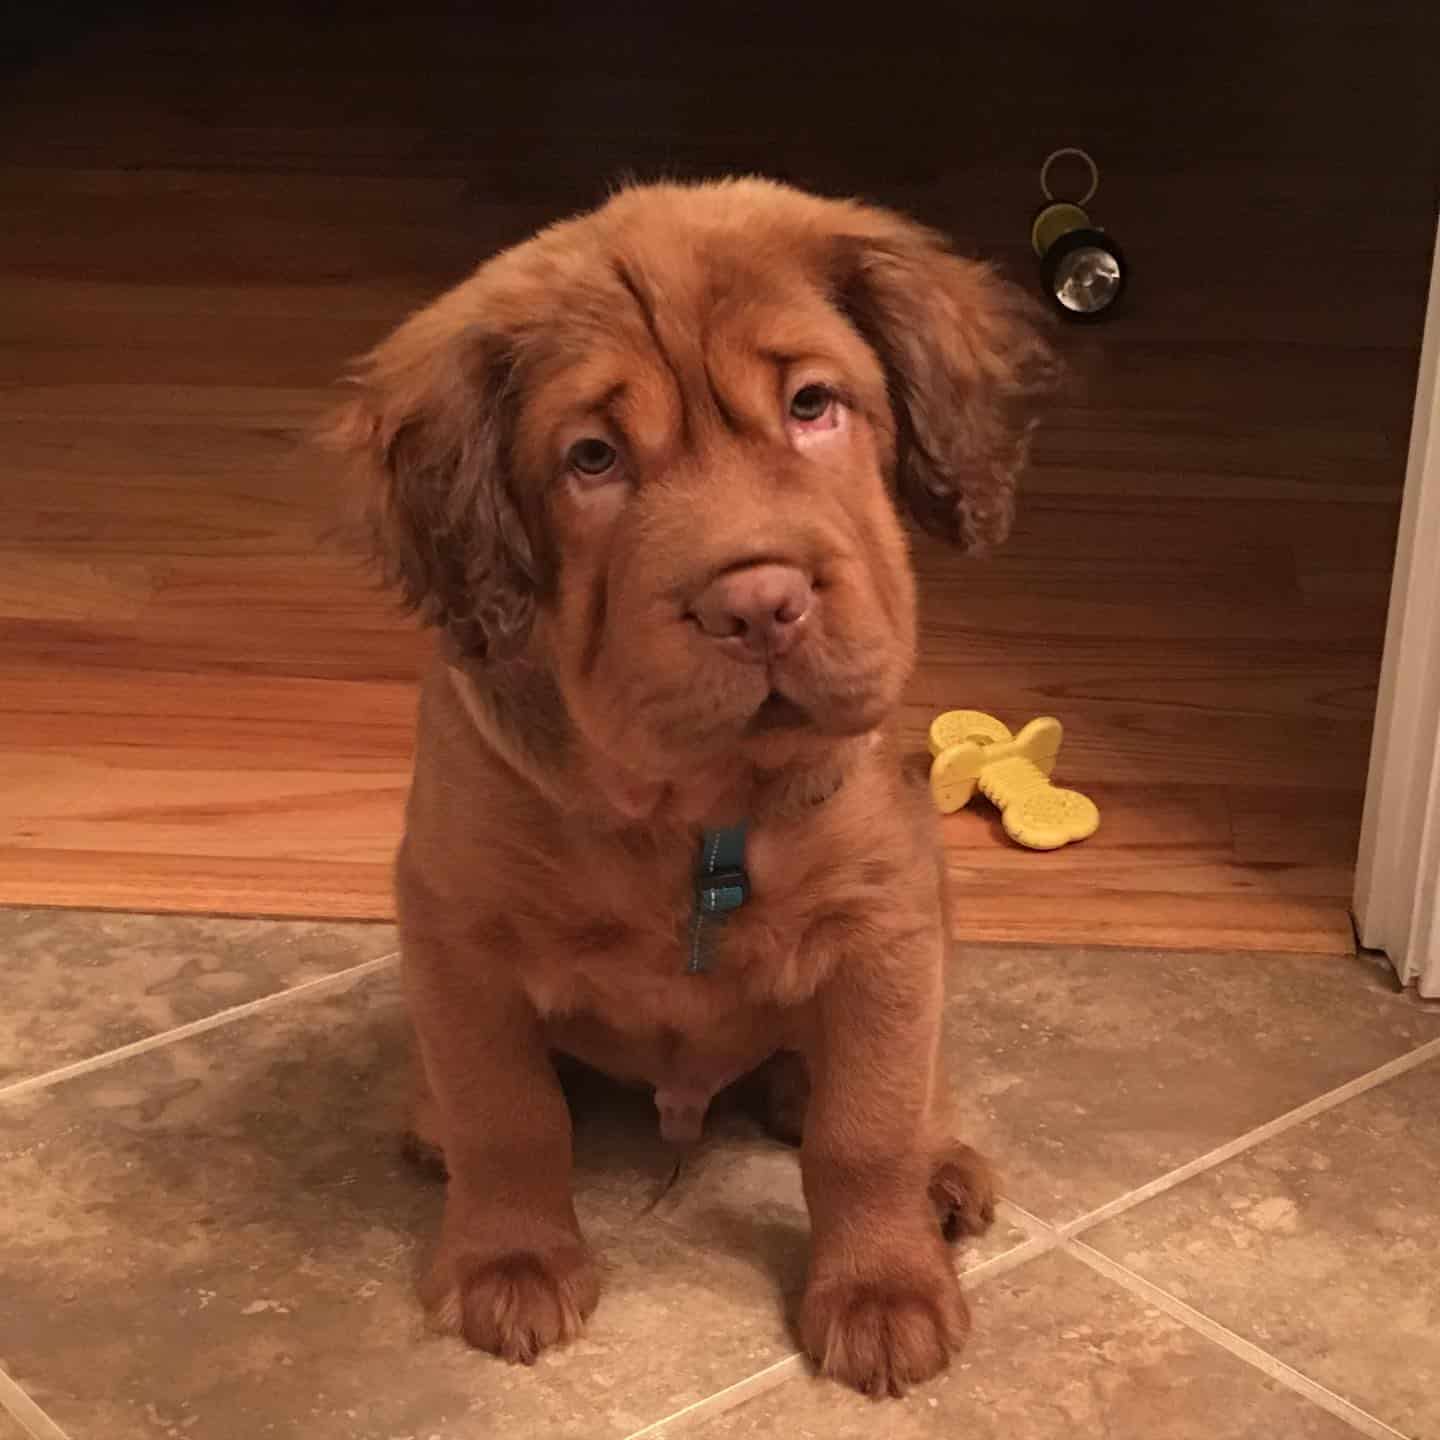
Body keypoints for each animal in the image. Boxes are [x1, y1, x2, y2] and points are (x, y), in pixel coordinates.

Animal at [326, 180, 1054, 1393]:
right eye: (592, 458)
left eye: (813, 405)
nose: (759, 603)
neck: (693, 805)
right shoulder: (455, 924)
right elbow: (504, 1111)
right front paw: (509, 1262)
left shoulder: (887, 918)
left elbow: (869, 1123)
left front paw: (883, 1286)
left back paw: (939, 1160)